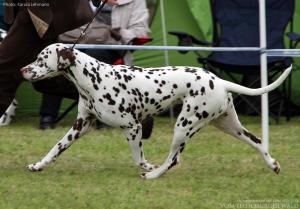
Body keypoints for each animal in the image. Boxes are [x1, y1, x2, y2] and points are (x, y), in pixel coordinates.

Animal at [20, 43, 290, 179]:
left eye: (41, 59)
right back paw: (273, 165)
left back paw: (152, 176)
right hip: (229, 126)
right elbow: (55, 149)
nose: (22, 70)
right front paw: (38, 166)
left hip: (183, 126)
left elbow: (138, 158)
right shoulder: (80, 126)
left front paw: (148, 167)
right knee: (258, 142)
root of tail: (220, 81)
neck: (93, 78)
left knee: (174, 159)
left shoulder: (133, 128)